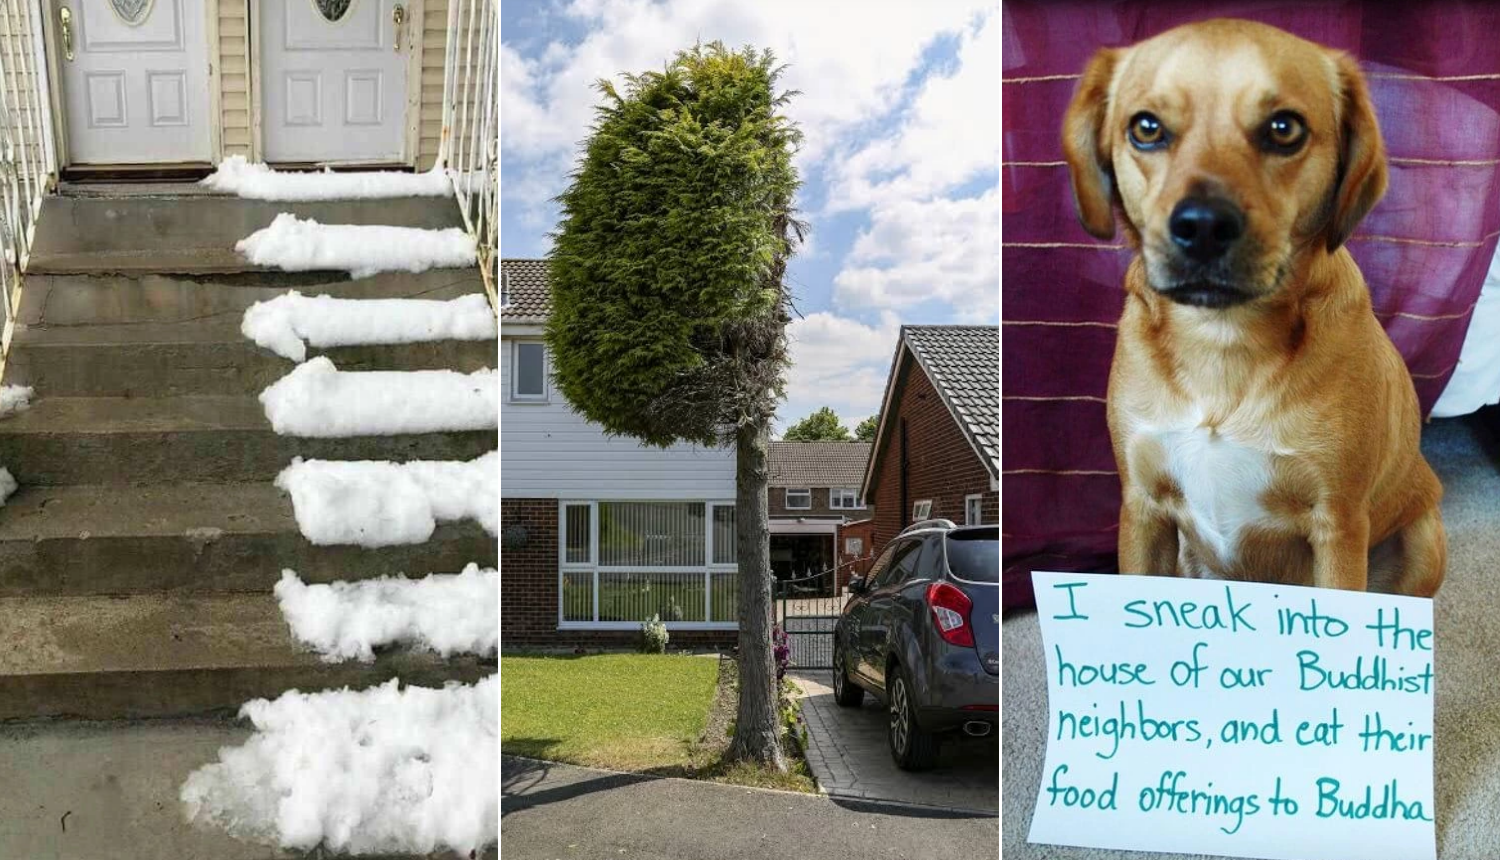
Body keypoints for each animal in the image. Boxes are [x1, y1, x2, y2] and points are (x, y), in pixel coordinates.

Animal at [1062, 21, 1446, 597]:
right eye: (1146, 127)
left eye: (1284, 129)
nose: (1202, 226)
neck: (1223, 342)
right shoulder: (1142, 508)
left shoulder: (1338, 523)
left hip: (1424, 540)